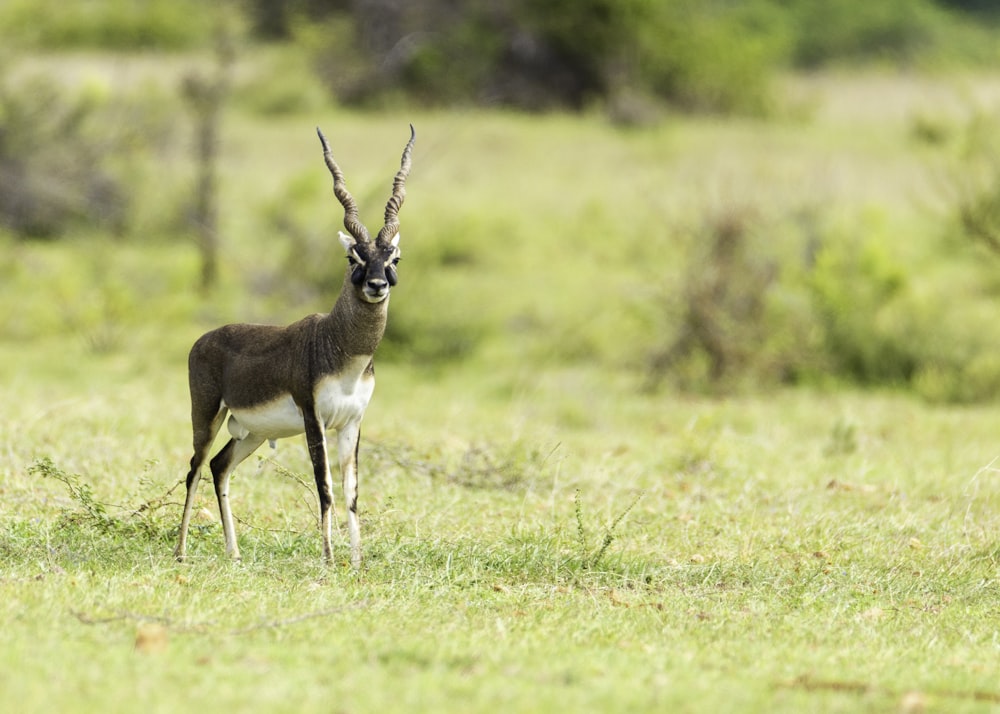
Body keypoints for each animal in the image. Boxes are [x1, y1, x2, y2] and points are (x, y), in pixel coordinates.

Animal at [174, 124, 416, 568]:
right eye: (354, 257)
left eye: (393, 257)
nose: (377, 285)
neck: (341, 351)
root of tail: (204, 338)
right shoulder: (312, 417)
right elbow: (325, 488)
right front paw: (330, 560)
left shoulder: (353, 422)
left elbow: (352, 494)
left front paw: (357, 562)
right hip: (208, 414)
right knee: (195, 467)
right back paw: (181, 552)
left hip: (251, 432)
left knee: (219, 465)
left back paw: (234, 553)